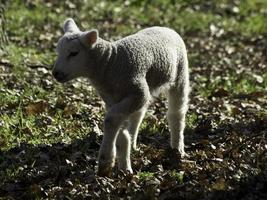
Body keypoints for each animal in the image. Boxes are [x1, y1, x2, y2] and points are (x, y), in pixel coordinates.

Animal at [52, 18, 191, 176]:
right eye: (58, 52)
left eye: (74, 53)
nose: (55, 73)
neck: (110, 62)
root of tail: (166, 28)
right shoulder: (113, 100)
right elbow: (119, 129)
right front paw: (124, 166)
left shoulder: (138, 92)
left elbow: (110, 121)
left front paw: (106, 161)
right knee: (138, 115)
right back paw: (134, 143)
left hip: (180, 74)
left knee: (176, 113)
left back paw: (178, 149)